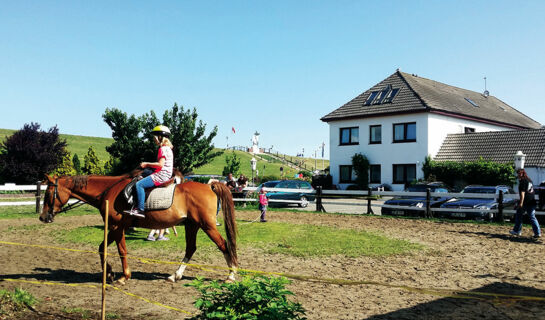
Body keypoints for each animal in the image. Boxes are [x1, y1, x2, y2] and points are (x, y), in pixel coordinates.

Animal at [40, 174, 236, 284]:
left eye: (48, 193)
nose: (42, 217)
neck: (109, 191)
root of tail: (209, 185)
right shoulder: (115, 227)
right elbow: (101, 248)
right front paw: (109, 273)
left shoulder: (117, 227)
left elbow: (122, 250)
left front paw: (124, 276)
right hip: (192, 225)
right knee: (191, 248)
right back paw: (175, 275)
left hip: (207, 225)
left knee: (224, 245)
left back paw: (231, 276)